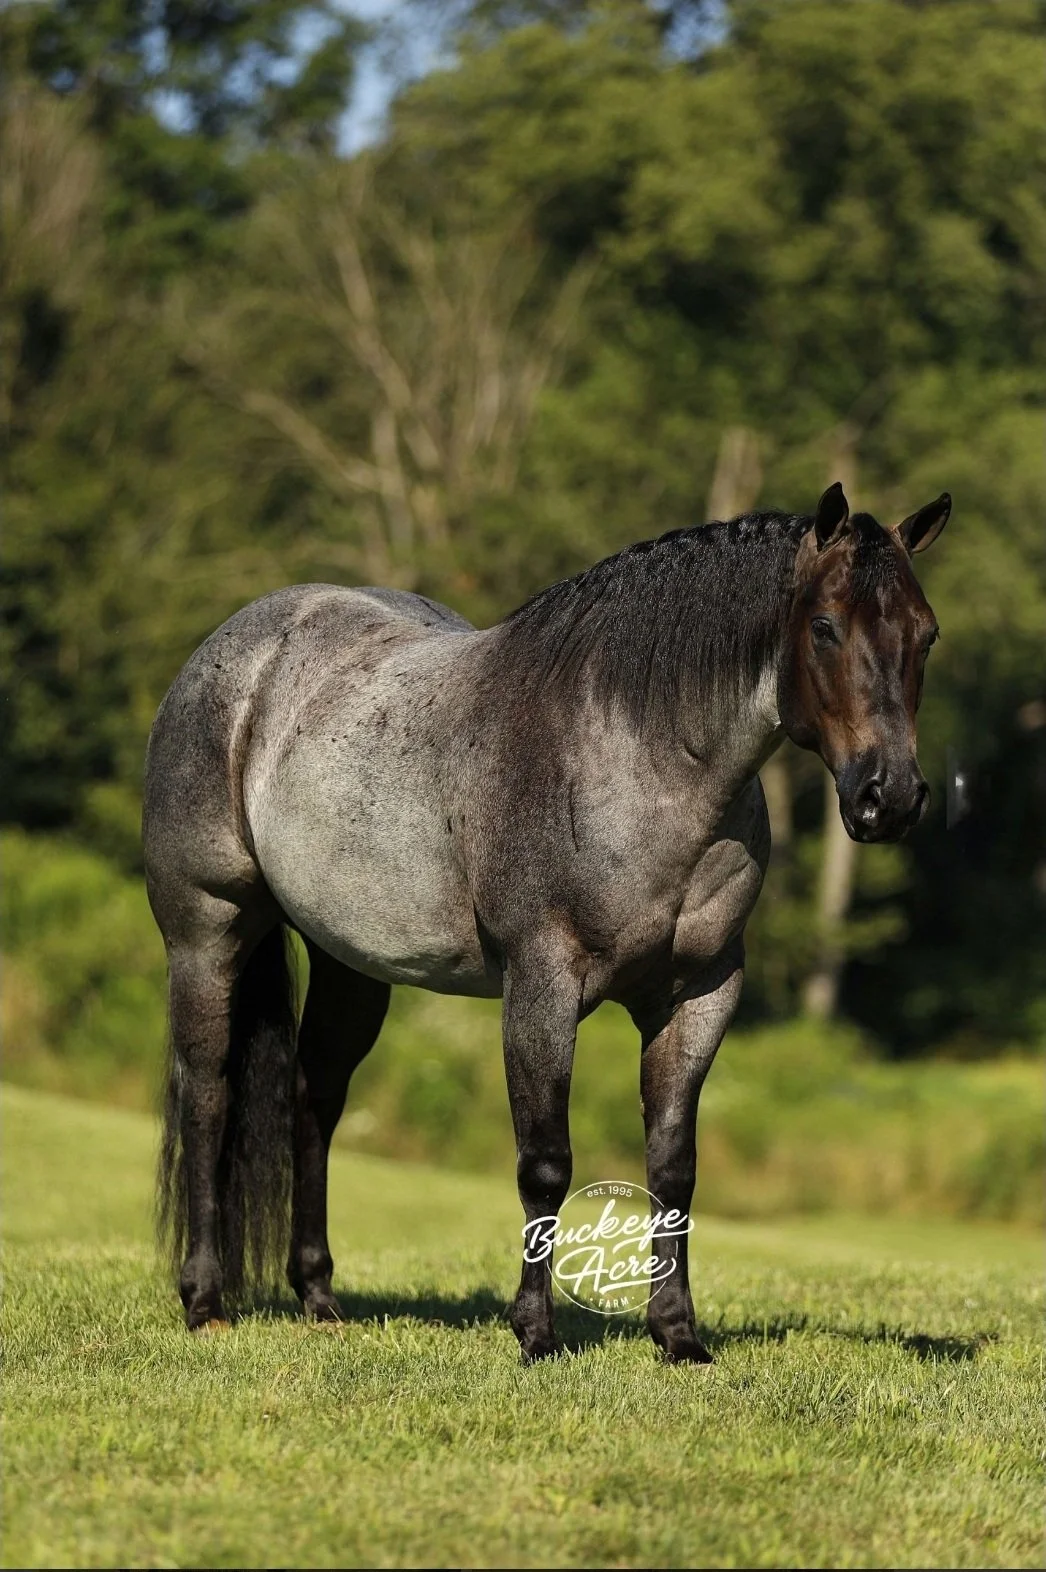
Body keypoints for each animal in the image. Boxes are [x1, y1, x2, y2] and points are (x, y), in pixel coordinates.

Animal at [145, 480, 950, 1362]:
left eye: (925, 633)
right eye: (826, 626)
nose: (890, 797)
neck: (638, 759)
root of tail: (237, 649)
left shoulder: (701, 994)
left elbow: (673, 1167)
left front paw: (678, 1336)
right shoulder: (542, 987)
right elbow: (545, 1163)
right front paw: (534, 1332)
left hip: (348, 963)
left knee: (313, 1096)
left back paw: (320, 1298)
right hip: (208, 932)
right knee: (209, 1092)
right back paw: (204, 1301)